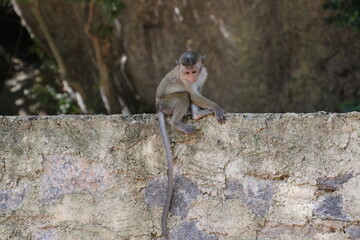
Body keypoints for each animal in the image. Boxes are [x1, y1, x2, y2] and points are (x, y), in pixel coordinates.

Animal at [155, 50, 228, 238]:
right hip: (167, 103)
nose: (191, 77)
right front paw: (217, 107)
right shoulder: (183, 78)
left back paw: (197, 115)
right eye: (187, 73)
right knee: (184, 95)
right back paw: (176, 123)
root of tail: (157, 106)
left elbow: (198, 92)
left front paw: (204, 111)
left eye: (194, 71)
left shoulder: (203, 73)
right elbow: (193, 95)